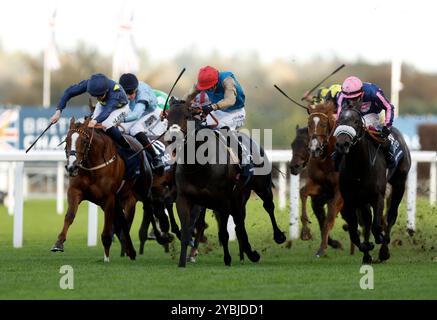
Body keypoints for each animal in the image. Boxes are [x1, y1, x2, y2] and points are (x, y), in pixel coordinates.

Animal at [51, 117, 154, 262]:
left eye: (84, 141)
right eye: (67, 140)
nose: (71, 167)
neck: (92, 167)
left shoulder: (109, 198)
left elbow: (107, 229)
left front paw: (106, 256)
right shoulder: (75, 191)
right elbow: (69, 216)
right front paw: (59, 243)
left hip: (141, 192)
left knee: (146, 209)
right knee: (124, 223)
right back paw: (131, 251)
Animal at [165, 99, 284, 266]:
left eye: (187, 116)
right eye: (168, 117)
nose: (171, 139)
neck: (200, 165)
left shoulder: (222, 200)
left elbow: (223, 232)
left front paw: (227, 258)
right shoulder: (184, 198)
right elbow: (186, 231)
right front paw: (182, 262)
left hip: (261, 187)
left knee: (268, 206)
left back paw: (278, 237)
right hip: (239, 196)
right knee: (240, 222)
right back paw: (248, 253)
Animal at [332, 107, 410, 262]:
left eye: (356, 121)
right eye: (339, 121)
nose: (342, 144)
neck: (359, 167)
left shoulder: (377, 197)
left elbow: (377, 226)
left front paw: (380, 240)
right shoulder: (351, 200)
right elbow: (354, 232)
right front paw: (366, 247)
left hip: (399, 183)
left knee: (391, 215)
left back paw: (384, 250)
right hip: (362, 199)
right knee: (367, 220)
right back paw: (368, 253)